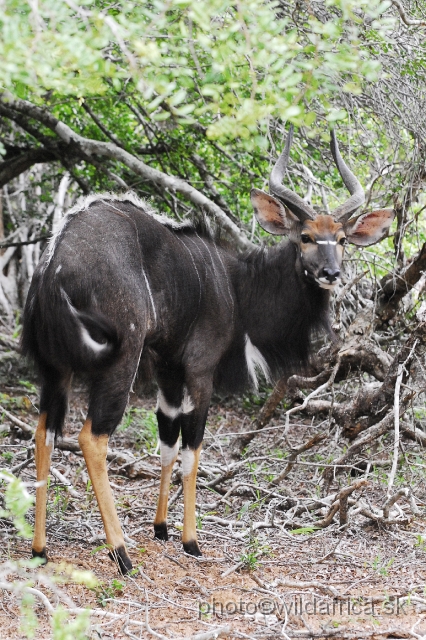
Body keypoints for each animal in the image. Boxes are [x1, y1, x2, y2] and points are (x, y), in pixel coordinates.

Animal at [23, 127, 394, 572]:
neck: (237, 286)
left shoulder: (166, 367)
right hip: (119, 361)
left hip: (55, 369)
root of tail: (54, 263)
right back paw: (121, 554)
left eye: (340, 240)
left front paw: (161, 528)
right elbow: (193, 448)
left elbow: (167, 440)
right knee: (91, 437)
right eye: (305, 236)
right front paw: (190, 540)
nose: (331, 273)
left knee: (44, 432)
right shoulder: (200, 370)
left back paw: (40, 549)